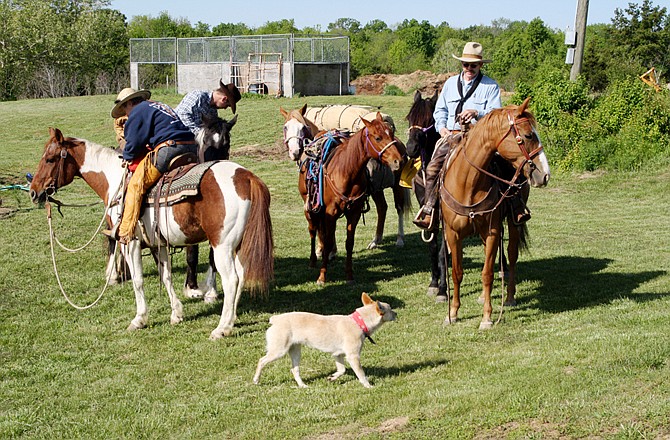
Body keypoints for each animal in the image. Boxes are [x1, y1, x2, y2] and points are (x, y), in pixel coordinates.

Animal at [30, 125, 274, 338]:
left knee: (231, 280)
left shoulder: (130, 243)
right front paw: (176, 313)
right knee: (241, 277)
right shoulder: (158, 243)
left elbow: (138, 280)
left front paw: (139, 319)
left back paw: (221, 328)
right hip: (238, 244)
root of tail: (247, 177)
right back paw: (231, 321)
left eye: (49, 159)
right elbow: (165, 276)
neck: (115, 181)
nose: (34, 192)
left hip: (221, 246)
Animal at [255, 292, 396, 388]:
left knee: (294, 370)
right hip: (279, 351)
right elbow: (361, 374)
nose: (396, 313)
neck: (358, 322)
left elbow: (342, 370)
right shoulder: (353, 356)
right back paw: (256, 380)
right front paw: (368, 386)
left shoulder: (338, 355)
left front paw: (332, 378)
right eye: (390, 309)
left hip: (295, 351)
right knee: (261, 361)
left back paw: (303, 386)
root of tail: (276, 319)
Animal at [296, 112, 406, 286]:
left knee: (393, 207)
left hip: (395, 186)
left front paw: (349, 275)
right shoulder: (330, 212)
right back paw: (313, 260)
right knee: (313, 230)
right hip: (310, 206)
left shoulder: (354, 213)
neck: (346, 170)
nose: (398, 160)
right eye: (378, 137)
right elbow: (327, 240)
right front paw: (322, 276)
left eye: (391, 134)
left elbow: (349, 242)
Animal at [436, 97, 552, 330]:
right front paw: (452, 314)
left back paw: (510, 297)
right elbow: (457, 273)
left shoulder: (492, 231)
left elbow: (487, 273)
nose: (544, 174)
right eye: (528, 135)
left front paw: (487, 317)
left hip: (514, 223)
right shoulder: (453, 234)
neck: (468, 184)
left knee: (512, 255)